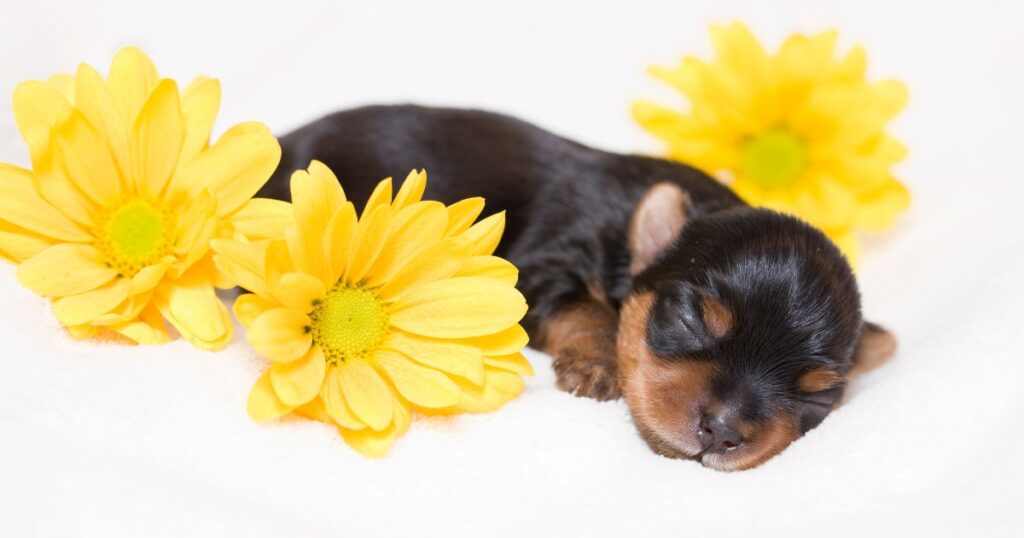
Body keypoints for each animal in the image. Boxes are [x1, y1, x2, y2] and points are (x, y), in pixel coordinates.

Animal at [258, 105, 897, 469]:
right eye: (690, 319)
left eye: (817, 398)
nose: (722, 431)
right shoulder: (543, 264)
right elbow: (586, 308)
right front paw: (596, 362)